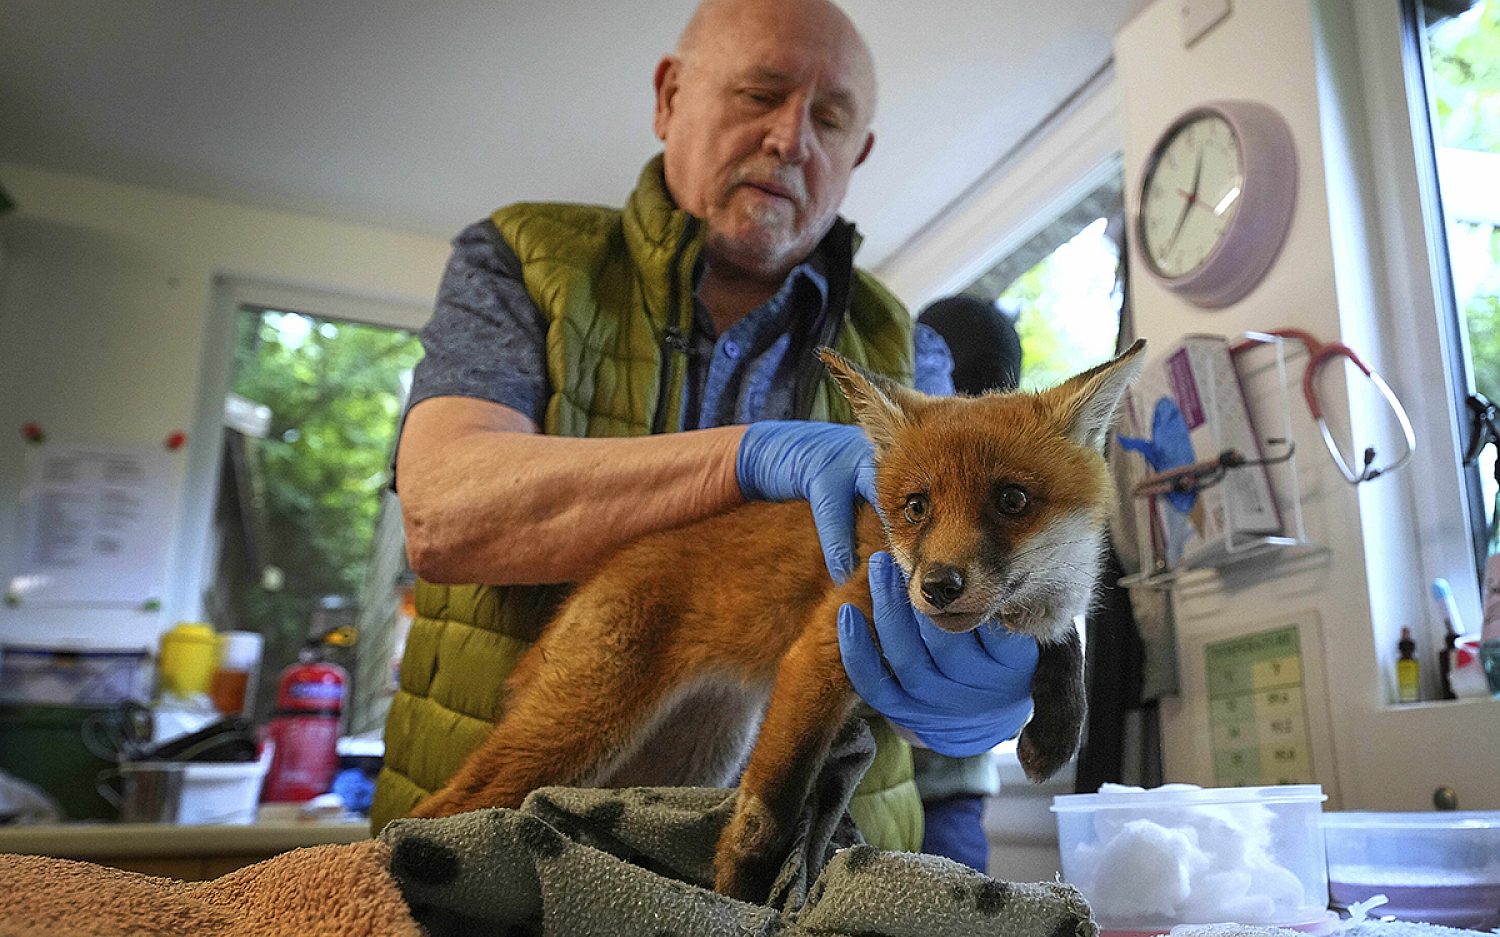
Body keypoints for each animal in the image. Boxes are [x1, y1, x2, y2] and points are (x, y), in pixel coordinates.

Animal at [410, 339, 1146, 902]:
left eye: (1012, 500)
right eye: (916, 507)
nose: (936, 588)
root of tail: (601, 572)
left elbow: (1067, 648)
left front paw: (1055, 730)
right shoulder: (822, 649)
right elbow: (771, 807)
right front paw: (742, 892)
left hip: (691, 754)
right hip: (586, 726)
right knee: (446, 805)